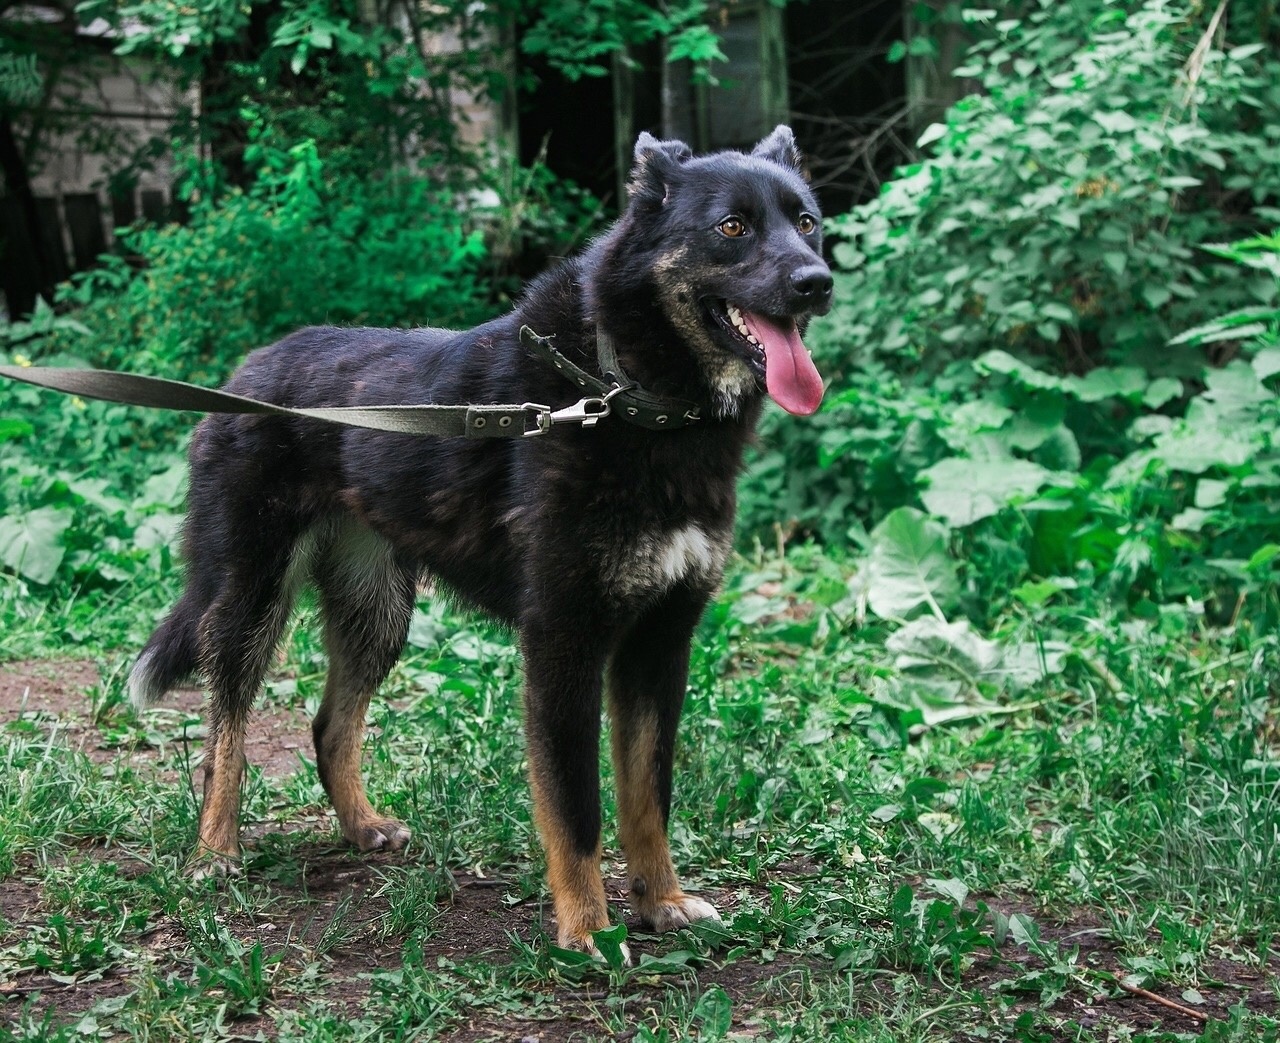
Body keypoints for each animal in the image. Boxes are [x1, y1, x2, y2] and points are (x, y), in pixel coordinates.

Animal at [127, 126, 829, 957]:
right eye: (732, 226)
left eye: (808, 222)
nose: (817, 282)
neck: (623, 392)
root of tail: (245, 371)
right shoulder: (563, 644)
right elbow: (577, 807)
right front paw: (588, 931)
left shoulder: (659, 643)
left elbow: (647, 794)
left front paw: (661, 901)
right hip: (250, 598)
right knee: (224, 732)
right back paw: (215, 850)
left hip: (376, 612)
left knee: (329, 724)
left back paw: (361, 826)